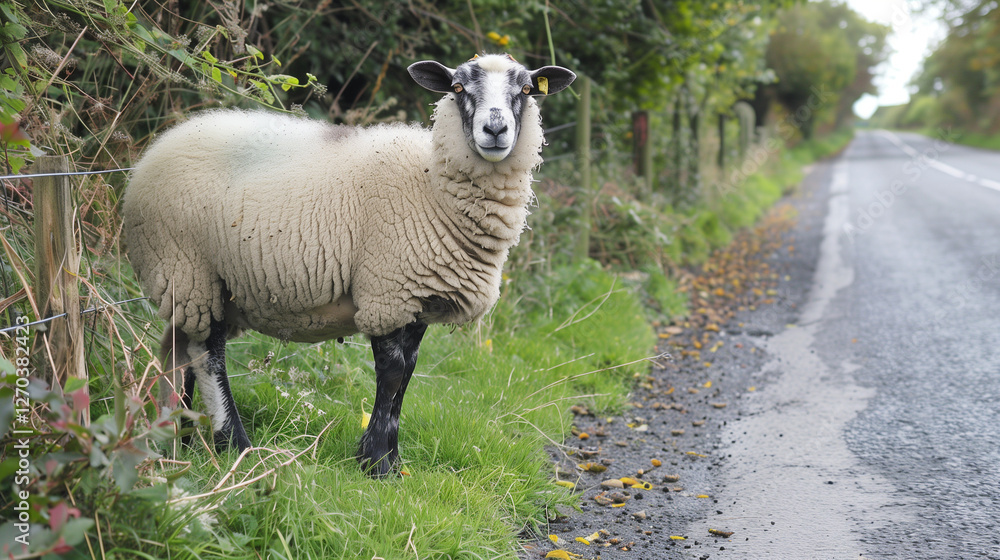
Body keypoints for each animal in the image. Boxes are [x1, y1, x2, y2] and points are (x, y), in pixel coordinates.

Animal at [123, 54, 575, 476]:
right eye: (459, 88)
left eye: (526, 90)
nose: (495, 130)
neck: (431, 184)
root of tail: (153, 152)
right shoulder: (386, 290)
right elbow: (392, 373)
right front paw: (377, 464)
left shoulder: (418, 298)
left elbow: (408, 375)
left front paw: (389, 459)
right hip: (189, 267)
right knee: (207, 351)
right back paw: (233, 443)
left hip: (196, 285)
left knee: (179, 346)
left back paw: (181, 434)